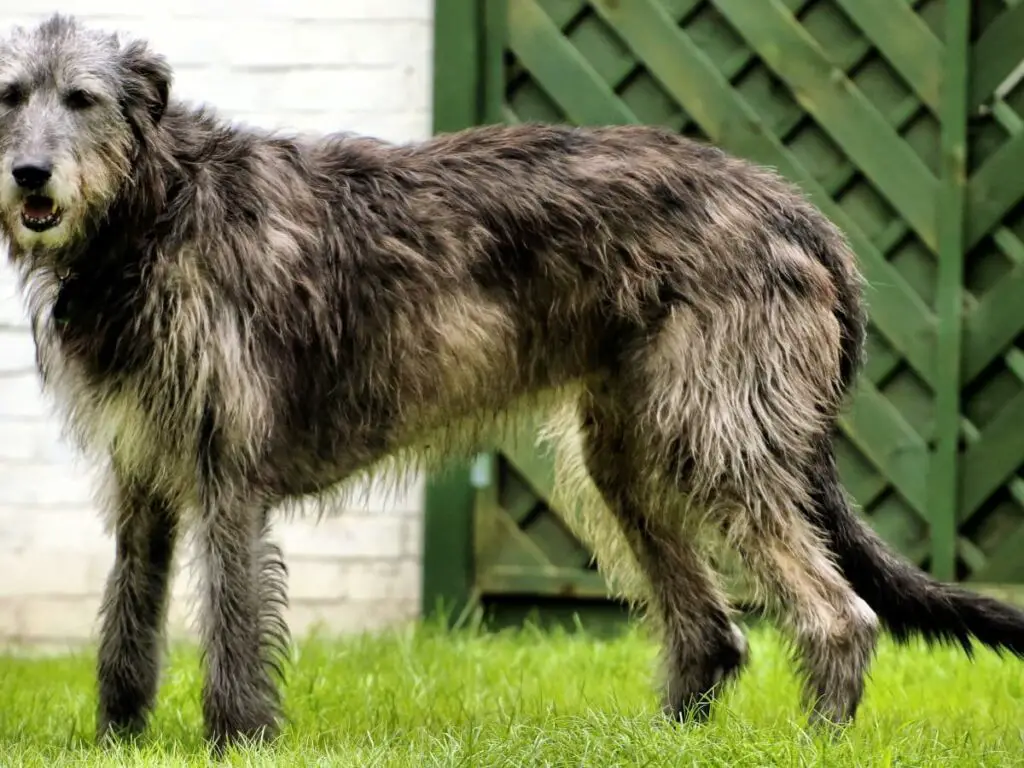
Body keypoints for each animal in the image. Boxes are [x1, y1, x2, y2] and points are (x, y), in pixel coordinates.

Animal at [2, 15, 1024, 753]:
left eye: (83, 98)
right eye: (11, 95)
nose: (29, 176)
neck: (153, 211)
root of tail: (799, 210)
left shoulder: (230, 477)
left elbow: (232, 629)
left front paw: (236, 744)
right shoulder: (143, 478)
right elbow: (125, 621)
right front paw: (117, 741)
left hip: (715, 437)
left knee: (840, 614)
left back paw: (815, 741)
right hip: (628, 455)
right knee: (713, 633)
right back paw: (665, 743)